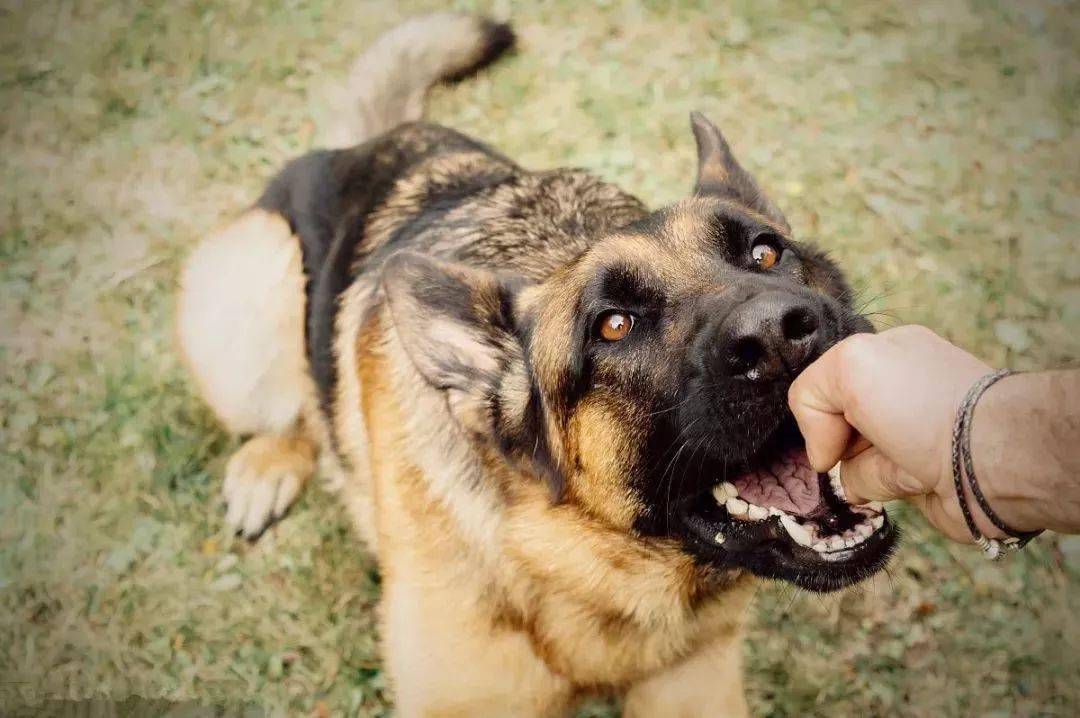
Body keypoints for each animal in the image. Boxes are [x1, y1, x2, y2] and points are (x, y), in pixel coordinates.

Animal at [179, 12, 894, 716]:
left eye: (765, 252)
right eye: (613, 326)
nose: (779, 336)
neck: (587, 565)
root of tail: (372, 141)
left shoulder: (695, 680)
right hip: (258, 288)